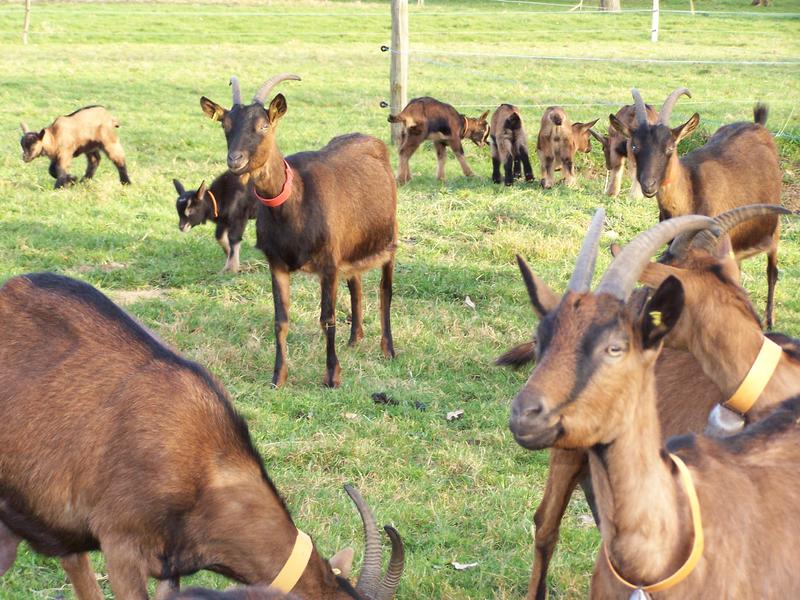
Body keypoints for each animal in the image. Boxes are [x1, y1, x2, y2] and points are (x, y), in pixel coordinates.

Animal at [202, 75, 398, 390]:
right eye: (225, 125)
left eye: (264, 125)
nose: (235, 160)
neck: (296, 199)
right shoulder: (277, 263)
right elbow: (280, 321)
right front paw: (278, 377)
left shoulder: (328, 263)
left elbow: (327, 318)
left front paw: (332, 376)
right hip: (352, 246)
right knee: (355, 283)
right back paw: (355, 339)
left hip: (389, 239)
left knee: (385, 291)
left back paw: (388, 349)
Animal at [612, 86, 780, 326]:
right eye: (635, 145)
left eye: (670, 147)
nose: (648, 184)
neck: (690, 190)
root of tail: (758, 125)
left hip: (774, 230)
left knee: (772, 271)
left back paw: (769, 320)